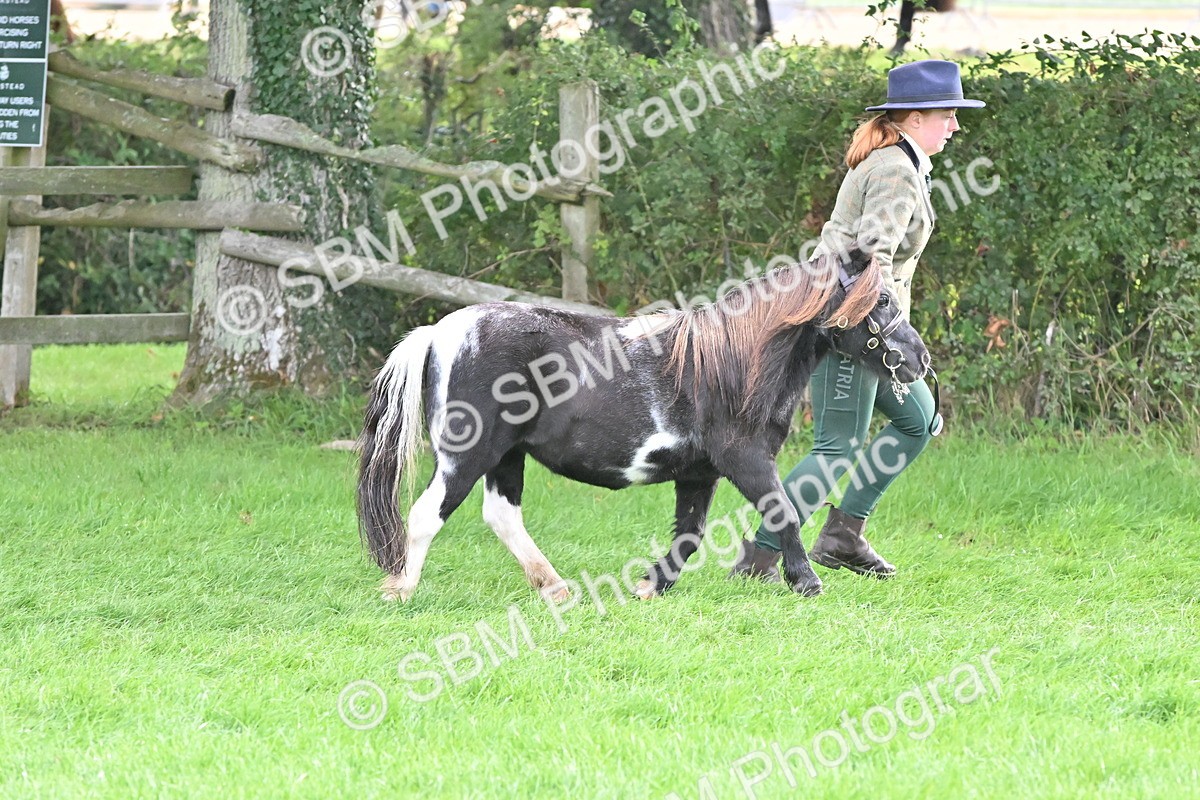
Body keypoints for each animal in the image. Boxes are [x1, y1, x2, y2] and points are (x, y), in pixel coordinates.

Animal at [356, 244, 931, 603]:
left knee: (502, 516)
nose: (919, 360)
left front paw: (652, 586)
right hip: (467, 453)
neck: (734, 363)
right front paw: (807, 583)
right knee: (426, 514)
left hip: (505, 455)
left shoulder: (699, 473)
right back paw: (402, 590)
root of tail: (440, 330)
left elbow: (689, 535)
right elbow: (784, 512)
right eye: (881, 300)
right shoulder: (745, 459)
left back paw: (554, 587)